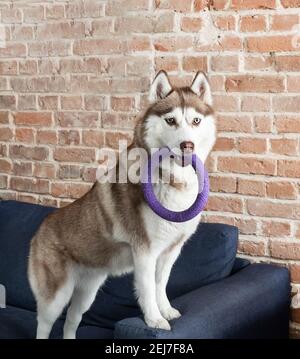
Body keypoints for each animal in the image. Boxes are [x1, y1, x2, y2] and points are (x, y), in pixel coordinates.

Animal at [27, 71, 216, 340]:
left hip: (88, 292)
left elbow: (161, 283)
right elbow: (147, 289)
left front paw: (167, 310)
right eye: (170, 121)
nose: (187, 145)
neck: (173, 181)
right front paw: (154, 320)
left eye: (196, 121)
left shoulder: (170, 251)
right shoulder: (144, 252)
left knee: (72, 319)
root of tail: (40, 228)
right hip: (55, 297)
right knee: (45, 324)